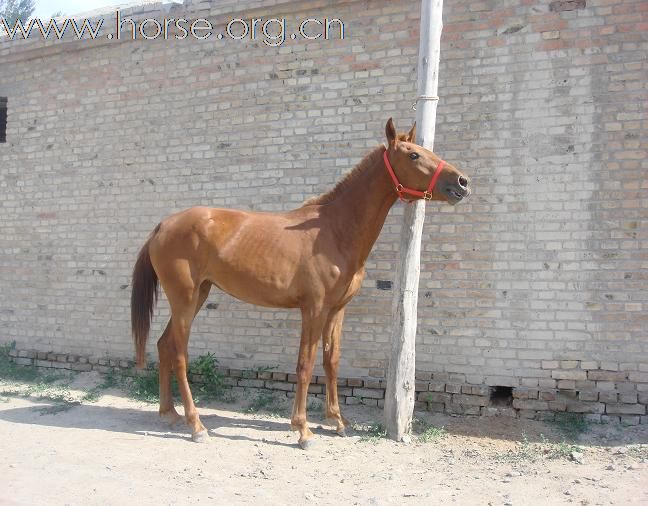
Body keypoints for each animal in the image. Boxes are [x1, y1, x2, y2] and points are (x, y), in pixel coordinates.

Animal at [130, 118, 470, 446]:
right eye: (413, 155)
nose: (462, 182)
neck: (333, 230)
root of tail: (163, 226)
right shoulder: (313, 309)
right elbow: (305, 365)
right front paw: (303, 429)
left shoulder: (336, 310)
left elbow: (331, 361)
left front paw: (337, 421)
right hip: (185, 299)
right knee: (178, 354)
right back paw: (196, 425)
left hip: (198, 294)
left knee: (163, 346)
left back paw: (169, 413)